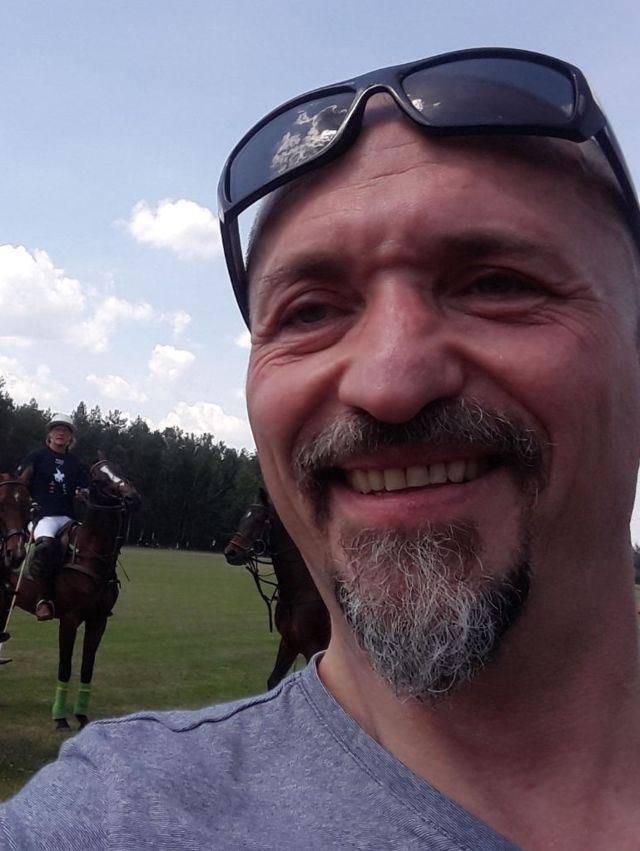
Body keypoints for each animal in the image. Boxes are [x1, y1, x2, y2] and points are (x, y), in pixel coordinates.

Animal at [0, 459, 141, 730]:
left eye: (119, 469)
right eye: (98, 478)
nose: (132, 496)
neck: (91, 555)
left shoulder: (99, 620)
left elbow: (87, 666)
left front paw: (82, 716)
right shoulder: (69, 619)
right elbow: (65, 666)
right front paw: (60, 718)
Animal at [225, 489, 330, 689]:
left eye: (259, 519)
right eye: (244, 517)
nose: (230, 553)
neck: (299, 593)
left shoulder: (313, 646)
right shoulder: (289, 642)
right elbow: (274, 680)